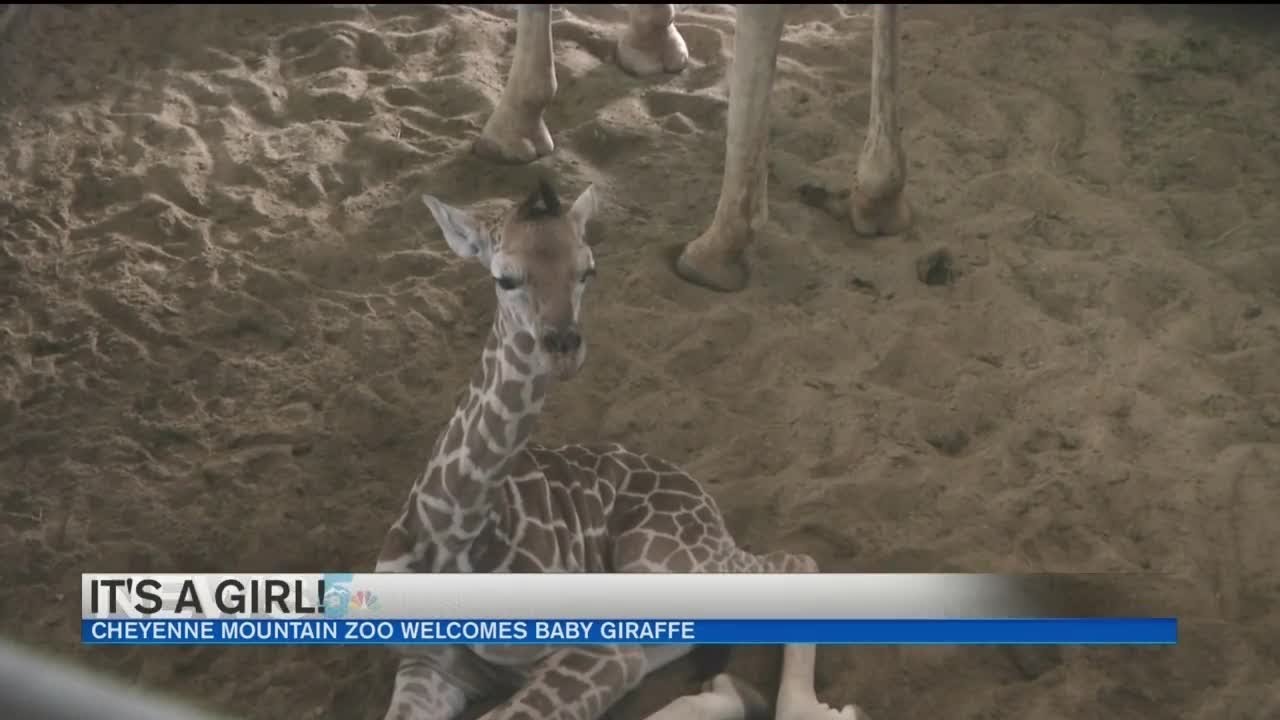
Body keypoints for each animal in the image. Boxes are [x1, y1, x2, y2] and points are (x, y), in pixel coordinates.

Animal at [375, 177, 868, 720]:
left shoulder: (602, 650)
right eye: (504, 278)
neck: (455, 535)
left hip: (661, 562)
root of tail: (700, 494)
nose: (564, 346)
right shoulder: (428, 662)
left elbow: (510, 712)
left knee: (800, 563)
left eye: (588, 270)